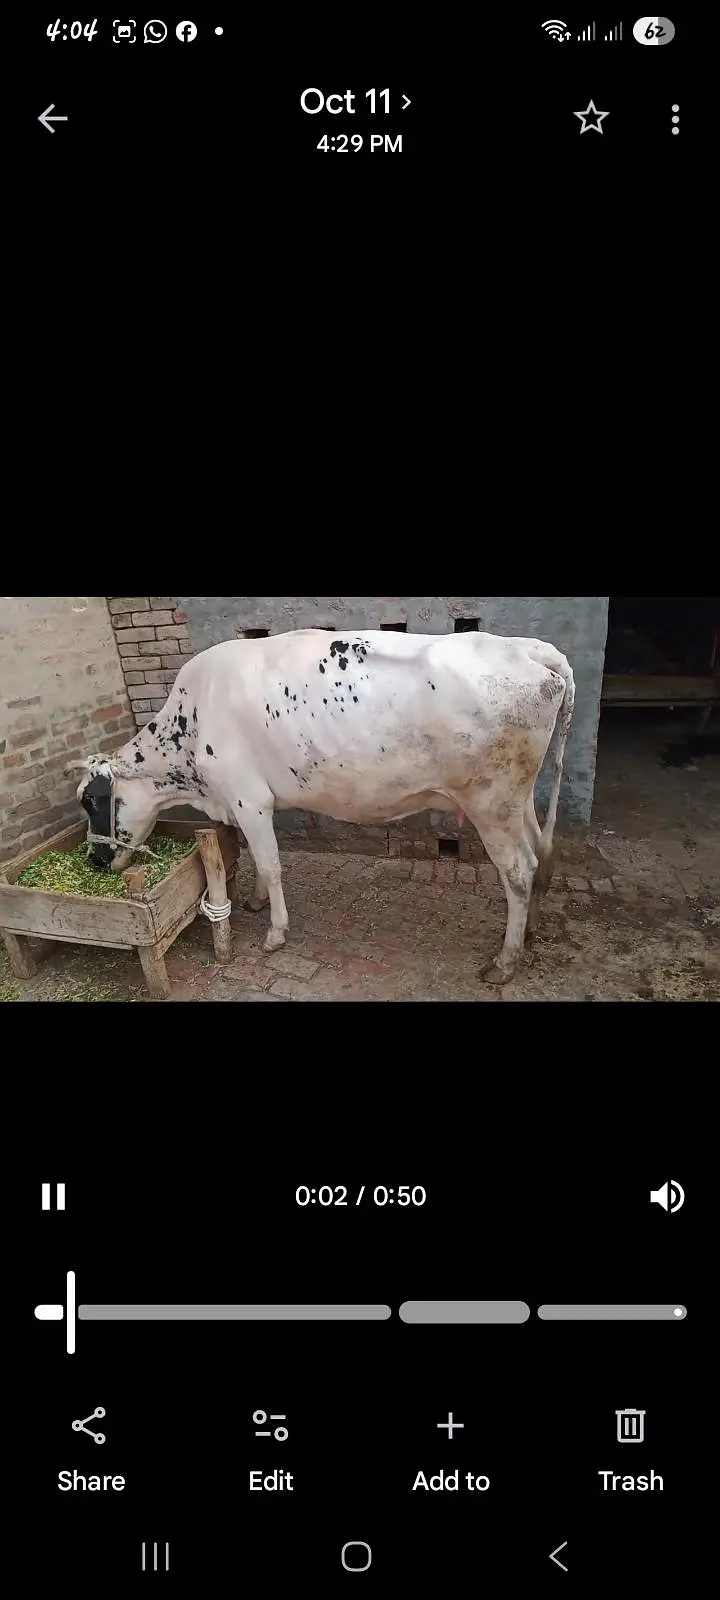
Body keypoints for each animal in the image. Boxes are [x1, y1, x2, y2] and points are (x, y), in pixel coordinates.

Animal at [67, 629, 575, 983]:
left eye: (91, 800)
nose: (93, 860)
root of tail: (529, 649)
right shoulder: (245, 802)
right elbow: (258, 860)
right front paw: (254, 902)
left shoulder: (247, 797)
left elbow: (271, 864)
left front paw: (275, 934)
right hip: (516, 801)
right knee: (539, 853)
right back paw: (529, 932)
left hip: (491, 801)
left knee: (519, 871)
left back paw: (505, 962)